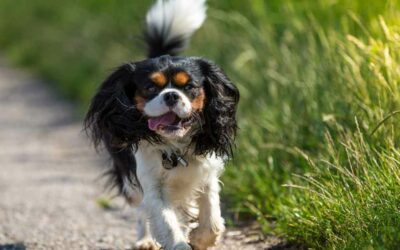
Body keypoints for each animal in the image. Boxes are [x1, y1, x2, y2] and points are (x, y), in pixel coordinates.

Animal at [85, 0, 239, 249]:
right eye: (150, 88)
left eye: (189, 87)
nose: (171, 95)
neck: (175, 146)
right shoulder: (151, 187)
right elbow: (166, 222)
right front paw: (181, 242)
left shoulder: (207, 173)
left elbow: (212, 215)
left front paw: (200, 238)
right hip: (131, 184)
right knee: (141, 211)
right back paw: (145, 240)